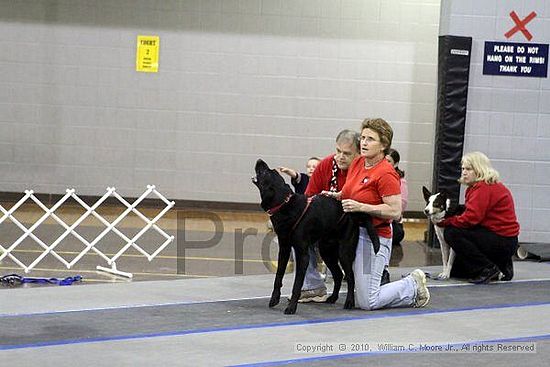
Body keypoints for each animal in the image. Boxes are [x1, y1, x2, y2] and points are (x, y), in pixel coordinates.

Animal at [253, 160, 380, 314]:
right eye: (270, 171)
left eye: (266, 172)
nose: (259, 160)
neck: (285, 204)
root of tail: (352, 212)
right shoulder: (284, 249)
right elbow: (278, 276)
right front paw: (274, 299)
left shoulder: (303, 255)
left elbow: (297, 284)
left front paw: (292, 307)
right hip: (327, 252)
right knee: (338, 275)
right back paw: (332, 298)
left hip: (344, 252)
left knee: (350, 277)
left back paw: (349, 302)